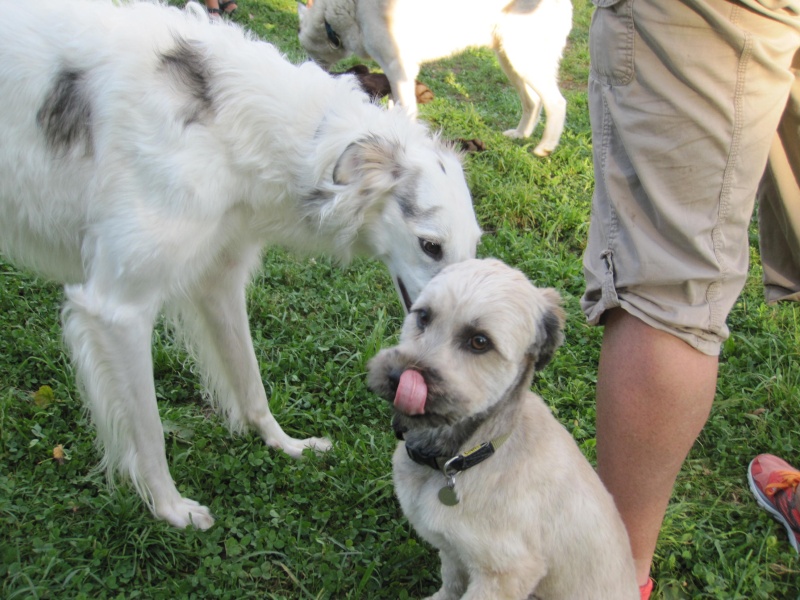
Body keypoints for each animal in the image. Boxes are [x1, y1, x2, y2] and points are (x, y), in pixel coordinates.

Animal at [0, 0, 482, 528]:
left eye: (475, 248)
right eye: (430, 246)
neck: (228, 124)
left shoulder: (218, 279)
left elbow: (251, 386)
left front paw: (287, 444)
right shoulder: (115, 309)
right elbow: (149, 433)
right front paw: (172, 509)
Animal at [296, 0, 572, 157]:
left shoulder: (399, 69)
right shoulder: (396, 73)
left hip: (522, 59)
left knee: (557, 103)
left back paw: (545, 147)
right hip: (510, 59)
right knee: (533, 101)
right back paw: (520, 135)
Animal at [368, 258, 636, 600]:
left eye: (479, 341)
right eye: (423, 316)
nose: (398, 378)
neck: (469, 453)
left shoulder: (505, 573)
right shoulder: (453, 549)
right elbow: (451, 582)